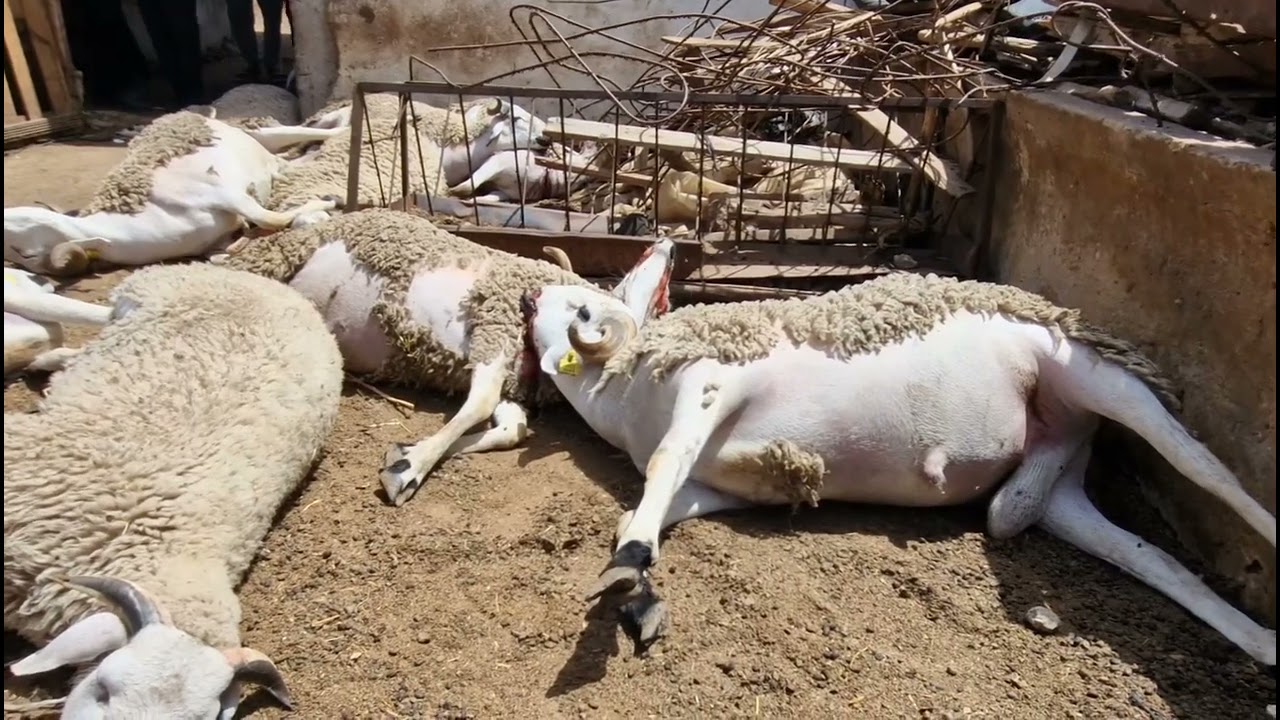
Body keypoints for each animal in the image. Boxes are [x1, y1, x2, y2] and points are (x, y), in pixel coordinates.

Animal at [3, 111, 337, 277]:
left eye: (21, 247)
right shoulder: (215, 240)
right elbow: (223, 254)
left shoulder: (222, 192)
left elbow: (270, 218)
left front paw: (323, 205)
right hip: (266, 153)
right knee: (288, 160)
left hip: (251, 137)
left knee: (302, 133)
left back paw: (339, 130)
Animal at [223, 207, 672, 507]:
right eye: (583, 311)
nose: (666, 241)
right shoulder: (494, 330)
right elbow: (479, 405)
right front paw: (411, 467)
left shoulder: (513, 380)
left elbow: (512, 430)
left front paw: (408, 452)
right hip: (279, 256)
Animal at [525, 271, 1278, 673]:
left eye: (580, 307)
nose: (534, 292)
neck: (624, 398)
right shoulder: (721, 484)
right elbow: (653, 500)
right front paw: (640, 575)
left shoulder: (712, 383)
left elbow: (663, 461)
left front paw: (627, 567)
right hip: (1055, 489)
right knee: (1151, 557)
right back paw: (1260, 642)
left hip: (1103, 378)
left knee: (1210, 471)